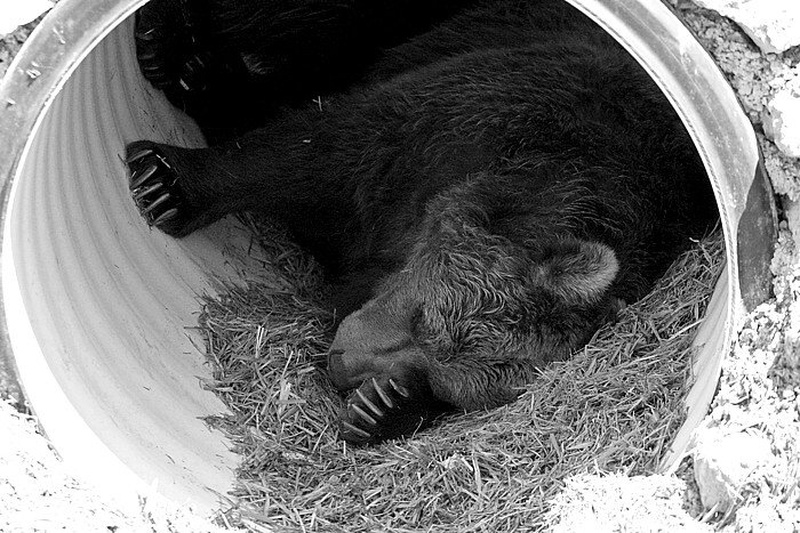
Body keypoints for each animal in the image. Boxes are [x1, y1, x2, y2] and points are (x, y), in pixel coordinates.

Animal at [126, 0, 717, 444]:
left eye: (442, 383)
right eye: (421, 316)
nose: (342, 362)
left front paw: (383, 406)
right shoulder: (466, 114)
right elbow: (317, 150)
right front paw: (167, 181)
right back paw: (168, 50)